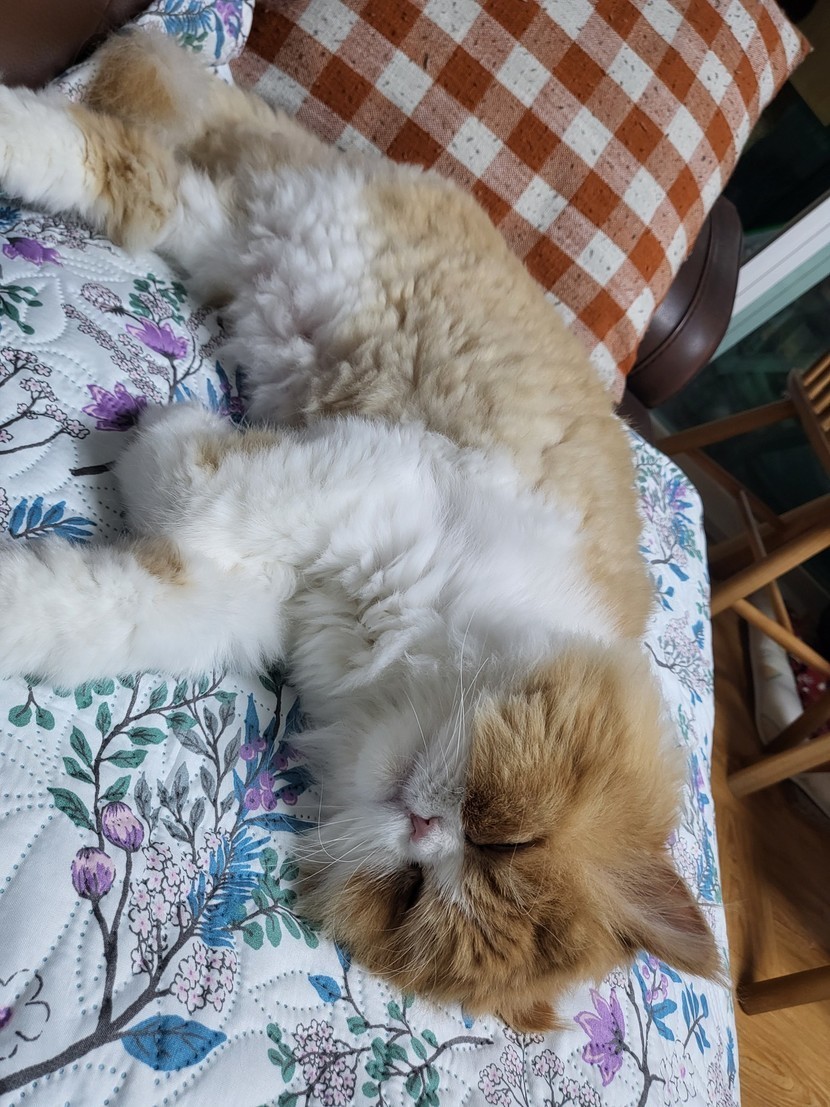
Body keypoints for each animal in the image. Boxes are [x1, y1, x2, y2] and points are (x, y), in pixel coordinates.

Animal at [0, 31, 720, 1030]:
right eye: (505, 836)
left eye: (410, 892)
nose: (424, 827)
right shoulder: (361, 479)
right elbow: (197, 477)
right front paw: (156, 430)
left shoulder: (247, 597)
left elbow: (88, 610)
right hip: (306, 240)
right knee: (107, 144)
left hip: (230, 240)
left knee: (134, 175)